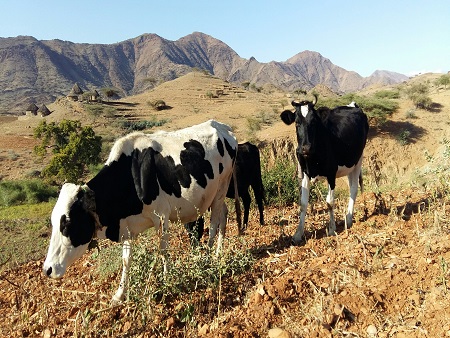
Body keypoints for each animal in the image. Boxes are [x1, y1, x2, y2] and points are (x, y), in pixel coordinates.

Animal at [42, 119, 239, 302]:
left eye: (67, 223)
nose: (47, 269)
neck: (131, 175)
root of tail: (221, 126)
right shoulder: (128, 227)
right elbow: (126, 260)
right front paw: (119, 294)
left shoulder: (161, 216)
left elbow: (163, 251)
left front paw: (167, 282)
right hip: (215, 194)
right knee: (224, 216)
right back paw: (218, 253)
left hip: (222, 187)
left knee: (214, 223)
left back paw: (210, 258)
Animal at [282, 94, 370, 243]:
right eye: (297, 123)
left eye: (313, 123)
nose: (305, 148)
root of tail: (353, 105)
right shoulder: (305, 173)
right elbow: (303, 204)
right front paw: (298, 234)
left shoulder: (331, 173)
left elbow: (329, 202)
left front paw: (332, 229)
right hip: (349, 165)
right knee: (351, 186)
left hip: (358, 159)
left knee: (354, 189)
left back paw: (349, 219)